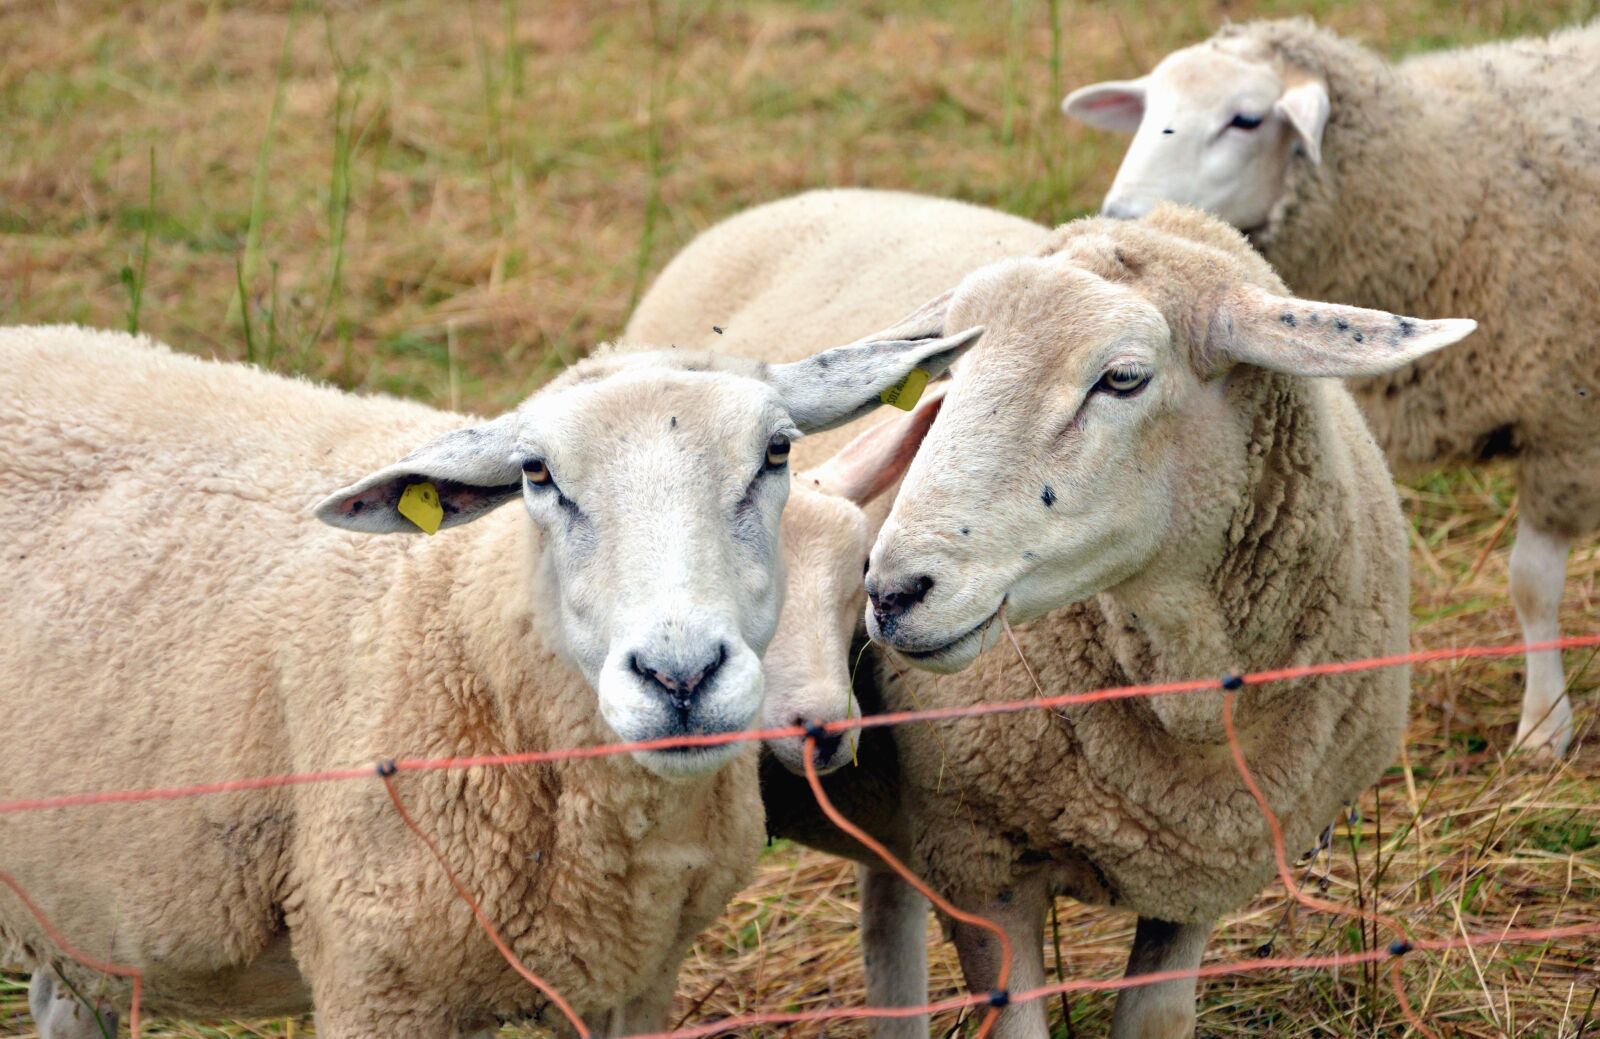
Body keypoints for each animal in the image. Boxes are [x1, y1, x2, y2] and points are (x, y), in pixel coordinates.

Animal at [851, 203, 1476, 1038]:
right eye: (948, 375)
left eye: (1122, 378)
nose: (893, 591)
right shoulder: (980, 861)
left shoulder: (1206, 864)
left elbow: (1157, 1017)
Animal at [1062, 17, 1600, 755]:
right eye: (1147, 113)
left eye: (1246, 120)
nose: (1122, 214)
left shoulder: (1567, 430)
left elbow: (1531, 586)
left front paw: (1544, 725)